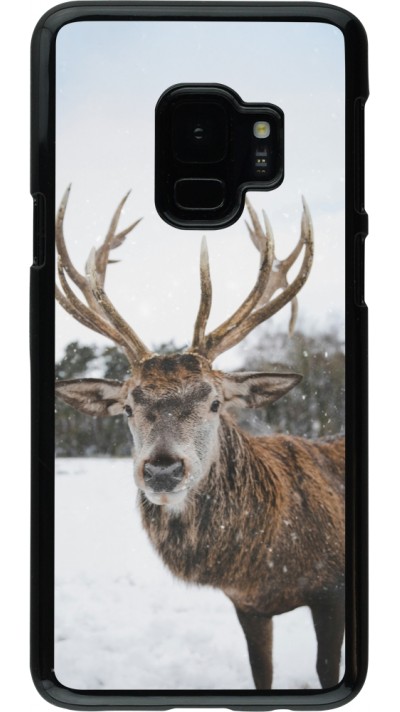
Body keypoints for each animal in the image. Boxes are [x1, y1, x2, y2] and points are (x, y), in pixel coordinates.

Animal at [55, 187, 345, 690]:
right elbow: (261, 674)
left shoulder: (332, 590)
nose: (162, 469)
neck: (267, 564)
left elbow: (329, 669)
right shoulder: (248, 605)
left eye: (214, 401)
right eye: (127, 407)